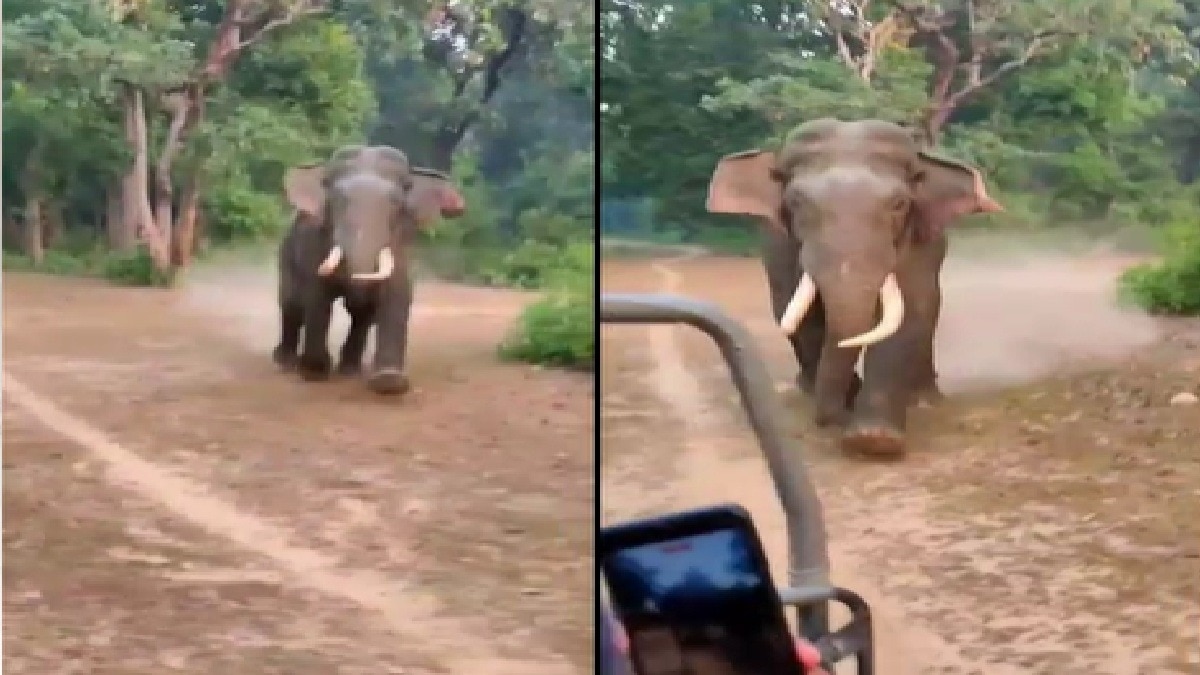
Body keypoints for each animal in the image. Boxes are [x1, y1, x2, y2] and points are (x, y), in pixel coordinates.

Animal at [273, 144, 466, 395]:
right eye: (337, 201)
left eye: (396, 204)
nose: (459, 207)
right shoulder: (315, 241)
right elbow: (317, 295)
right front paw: (315, 373)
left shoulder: (400, 243)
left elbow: (397, 295)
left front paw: (389, 382)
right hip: (286, 249)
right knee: (292, 303)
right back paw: (286, 363)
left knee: (359, 316)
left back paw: (350, 371)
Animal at [706, 118, 1003, 457]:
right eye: (796, 202)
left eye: (900, 204)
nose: (833, 418)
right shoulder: (782, 244)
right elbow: (804, 314)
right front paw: (849, 410)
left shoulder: (919, 241)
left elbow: (911, 311)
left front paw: (874, 441)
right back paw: (810, 389)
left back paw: (925, 400)